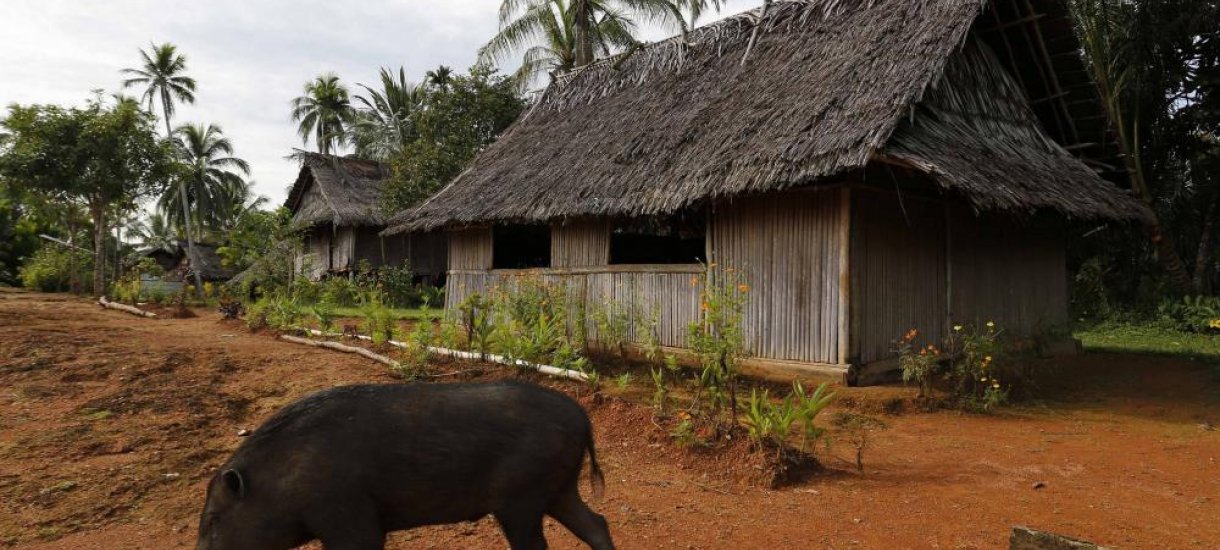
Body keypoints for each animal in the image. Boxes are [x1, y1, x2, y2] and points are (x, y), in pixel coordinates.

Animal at [202, 380, 619, 550]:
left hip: (521, 495)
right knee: (596, 523)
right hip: (557, 486)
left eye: (212, 521)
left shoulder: (346, 514)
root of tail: (580, 414)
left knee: (535, 543)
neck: (282, 481)